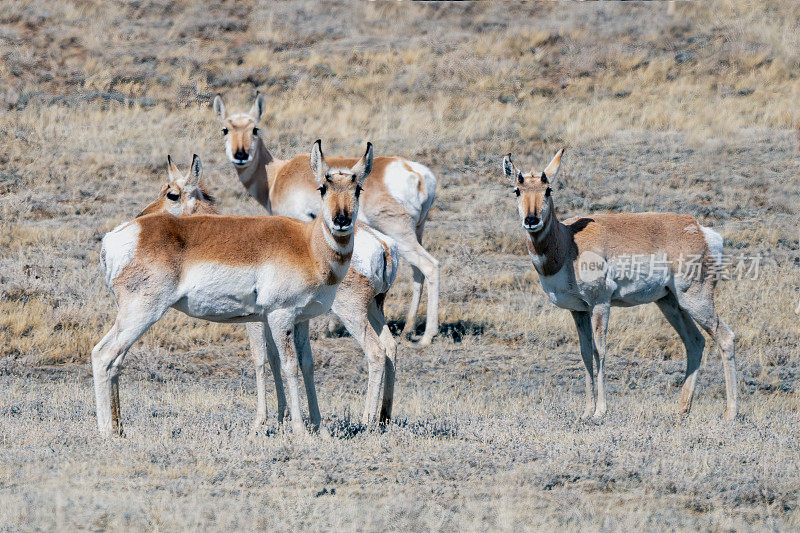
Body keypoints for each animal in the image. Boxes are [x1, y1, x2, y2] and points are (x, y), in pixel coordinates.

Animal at [93, 139, 378, 434]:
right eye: (322, 187)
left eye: (358, 188)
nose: (342, 220)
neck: (307, 244)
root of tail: (120, 235)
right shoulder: (278, 316)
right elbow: (288, 365)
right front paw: (299, 430)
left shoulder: (300, 320)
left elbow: (307, 365)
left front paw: (319, 428)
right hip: (141, 314)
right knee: (102, 355)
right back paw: (107, 432)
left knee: (115, 361)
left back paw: (119, 428)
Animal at [209, 92, 440, 344]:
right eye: (225, 129)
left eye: (255, 129)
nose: (240, 155)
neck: (279, 174)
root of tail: (416, 172)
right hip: (415, 234)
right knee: (417, 272)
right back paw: (409, 329)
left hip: (401, 235)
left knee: (430, 266)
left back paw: (427, 336)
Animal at [506, 149, 736, 420]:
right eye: (517, 190)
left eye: (548, 189)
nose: (531, 220)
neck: (568, 242)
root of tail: (699, 229)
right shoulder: (578, 310)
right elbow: (585, 353)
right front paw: (586, 412)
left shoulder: (600, 304)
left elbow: (600, 350)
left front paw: (600, 412)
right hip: (669, 302)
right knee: (695, 342)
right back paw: (681, 410)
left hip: (696, 300)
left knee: (726, 337)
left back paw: (730, 414)